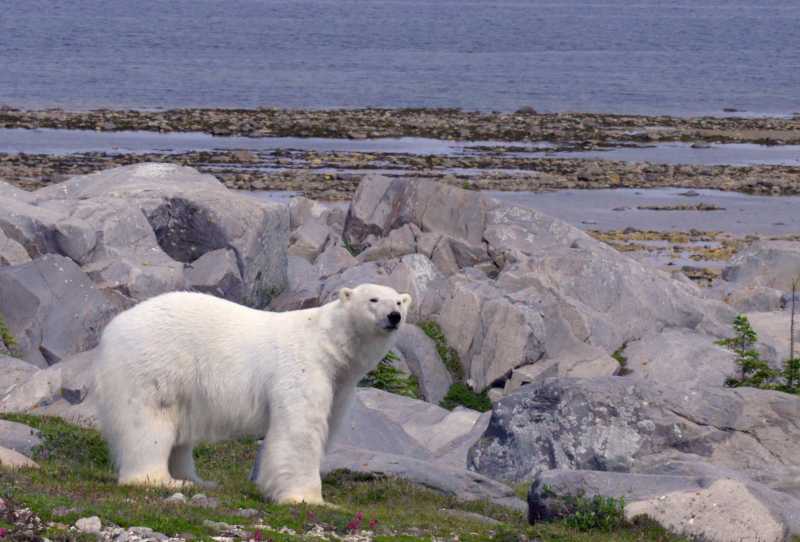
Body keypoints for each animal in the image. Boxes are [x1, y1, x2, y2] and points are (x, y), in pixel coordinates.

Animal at [92, 284, 412, 506]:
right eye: (373, 299)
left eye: (398, 301)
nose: (394, 316)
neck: (328, 344)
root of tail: (114, 327)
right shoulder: (302, 367)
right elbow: (300, 430)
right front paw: (307, 498)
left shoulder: (340, 385)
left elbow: (327, 423)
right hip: (155, 362)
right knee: (150, 420)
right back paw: (162, 481)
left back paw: (197, 480)